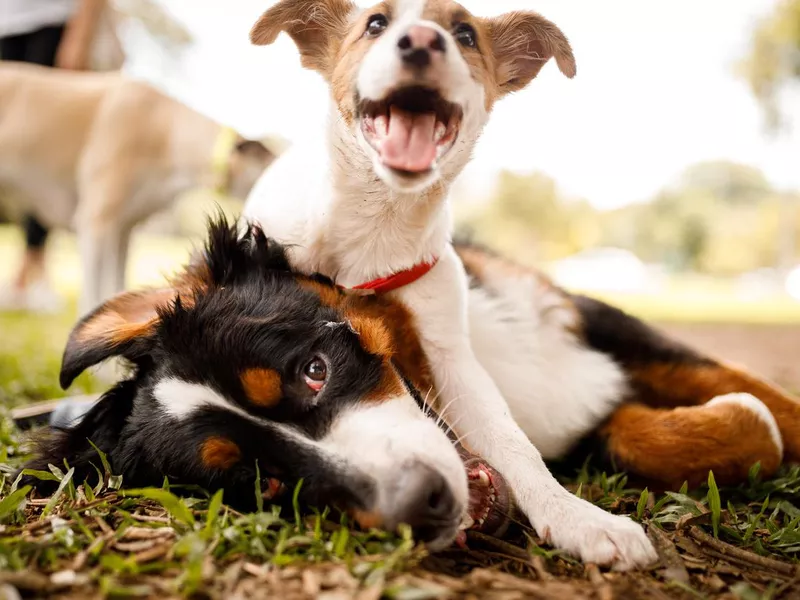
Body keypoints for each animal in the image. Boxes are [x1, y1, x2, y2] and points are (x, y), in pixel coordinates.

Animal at [242, 0, 800, 572]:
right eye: (375, 23)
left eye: (465, 34)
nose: (420, 41)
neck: (375, 227)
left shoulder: (464, 348)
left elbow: (517, 442)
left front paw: (578, 514)